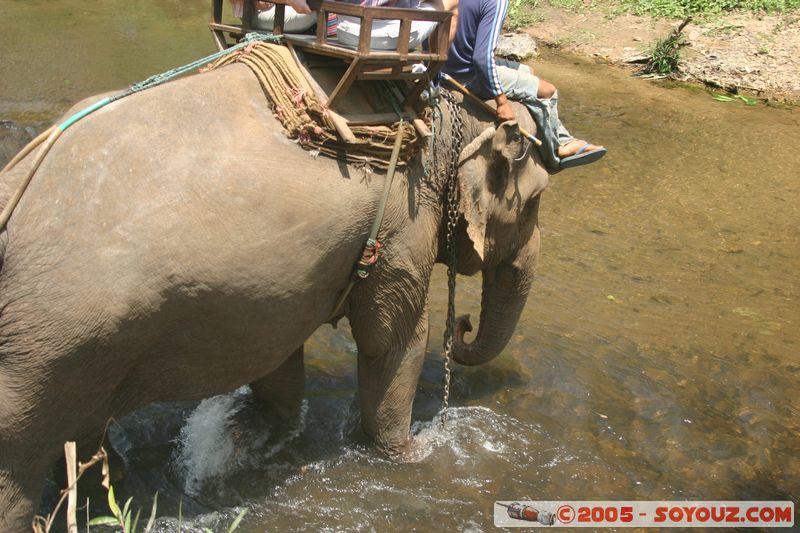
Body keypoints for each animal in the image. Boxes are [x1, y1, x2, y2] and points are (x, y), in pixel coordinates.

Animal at [0, 61, 552, 528]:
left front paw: (259, 436)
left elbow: (281, 356)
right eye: (535, 201)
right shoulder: (403, 227)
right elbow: (393, 344)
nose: (463, 325)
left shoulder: (281, 286)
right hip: (43, 353)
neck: (442, 117)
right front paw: (411, 458)